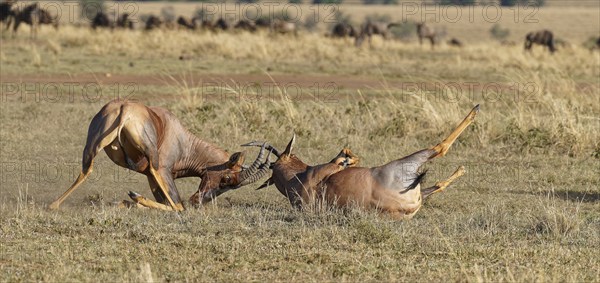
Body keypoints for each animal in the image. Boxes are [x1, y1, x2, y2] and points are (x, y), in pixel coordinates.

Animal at [49, 98, 270, 212]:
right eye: (227, 178)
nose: (197, 202)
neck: (180, 137)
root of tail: (126, 109)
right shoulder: (164, 172)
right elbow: (176, 203)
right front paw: (131, 199)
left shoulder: (150, 177)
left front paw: (124, 203)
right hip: (154, 160)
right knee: (177, 205)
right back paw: (135, 196)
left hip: (93, 145)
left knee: (85, 171)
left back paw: (54, 204)